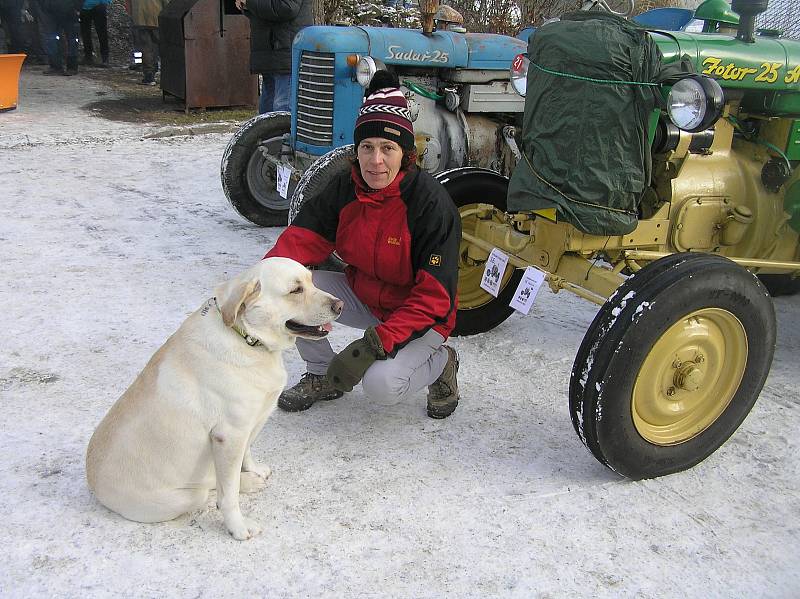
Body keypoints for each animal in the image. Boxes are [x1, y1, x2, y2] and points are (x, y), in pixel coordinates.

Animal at [86, 256, 342, 540]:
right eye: (295, 290)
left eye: (311, 280)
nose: (339, 305)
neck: (246, 337)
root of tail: (93, 484)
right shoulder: (229, 435)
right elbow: (228, 496)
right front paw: (238, 527)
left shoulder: (248, 425)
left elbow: (246, 455)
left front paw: (252, 471)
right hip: (178, 497)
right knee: (208, 491)